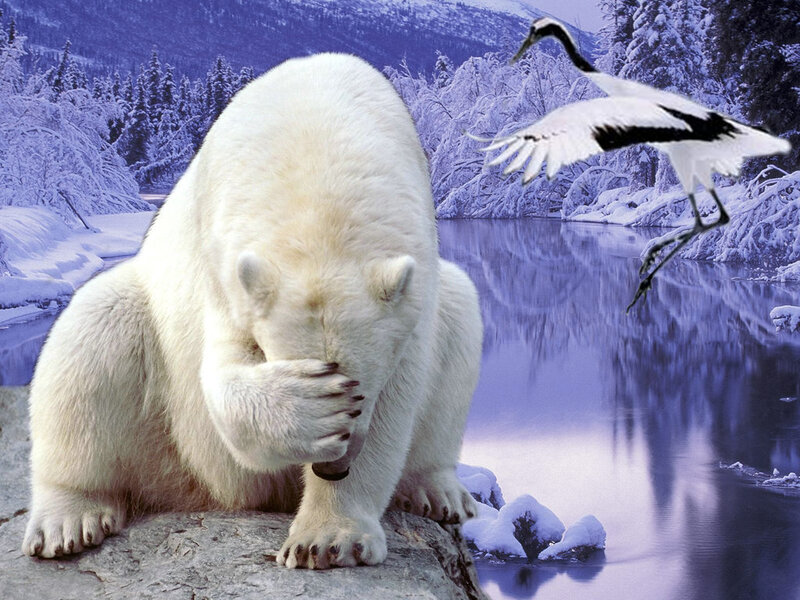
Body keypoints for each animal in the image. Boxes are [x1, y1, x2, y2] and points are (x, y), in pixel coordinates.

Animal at [22, 52, 482, 569]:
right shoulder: (223, 265)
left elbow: (399, 399)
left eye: (362, 389)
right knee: (92, 334)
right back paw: (67, 520)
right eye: (333, 382)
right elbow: (222, 377)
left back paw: (437, 491)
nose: (333, 468)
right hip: (159, 411)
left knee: (460, 317)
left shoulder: (414, 289)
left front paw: (327, 539)